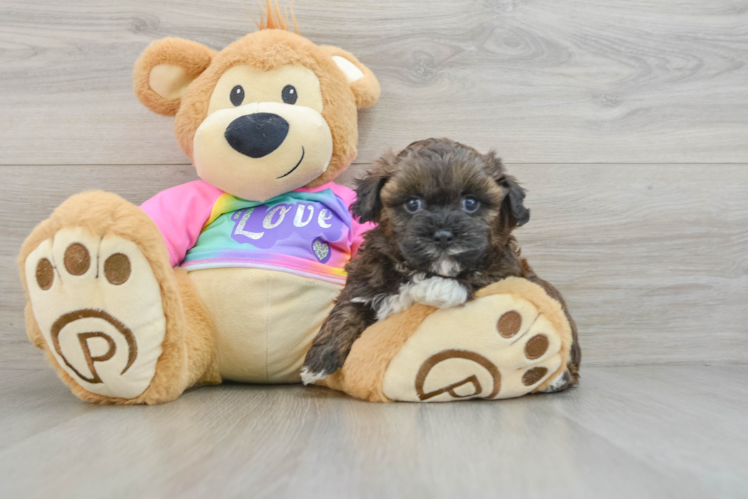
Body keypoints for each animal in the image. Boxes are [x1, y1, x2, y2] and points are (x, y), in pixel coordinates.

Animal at [300, 138, 580, 390]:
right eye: (412, 203)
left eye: (471, 203)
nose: (443, 235)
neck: (419, 268)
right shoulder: (365, 280)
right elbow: (346, 310)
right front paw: (317, 363)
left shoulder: (509, 268)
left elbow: (479, 272)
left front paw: (437, 289)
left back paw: (557, 378)